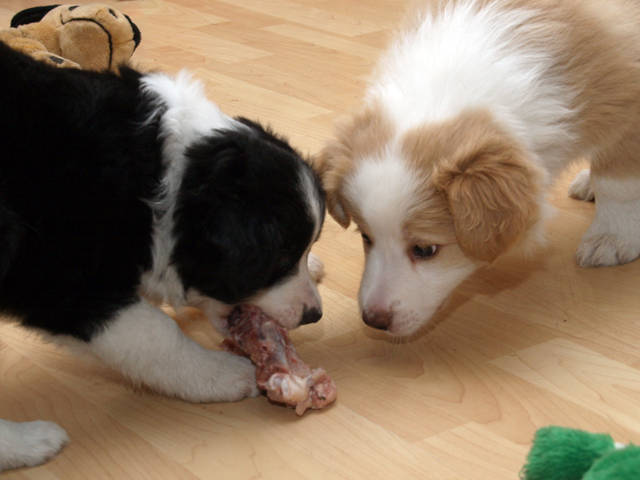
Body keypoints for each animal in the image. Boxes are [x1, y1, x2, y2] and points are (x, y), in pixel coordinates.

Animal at [0, 41, 325, 470]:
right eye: (279, 259)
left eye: (302, 250)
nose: (314, 314)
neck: (161, 181)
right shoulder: (63, 281)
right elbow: (156, 334)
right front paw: (223, 375)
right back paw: (32, 442)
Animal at [315, 0, 640, 337]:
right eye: (366, 237)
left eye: (425, 249)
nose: (373, 321)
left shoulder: (628, 105)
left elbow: (618, 184)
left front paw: (612, 237)